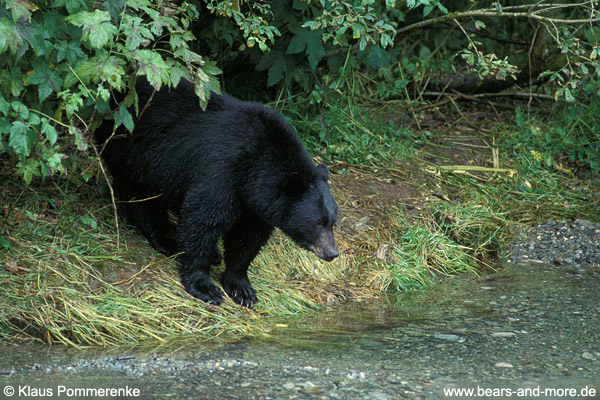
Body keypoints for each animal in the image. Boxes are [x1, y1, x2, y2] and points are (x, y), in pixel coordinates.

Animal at [94, 79, 338, 308]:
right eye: (317, 222)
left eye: (333, 222)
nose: (332, 253)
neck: (256, 163)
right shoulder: (222, 171)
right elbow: (204, 219)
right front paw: (204, 286)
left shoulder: (255, 204)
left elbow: (247, 237)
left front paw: (242, 288)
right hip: (134, 148)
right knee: (139, 194)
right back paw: (166, 238)